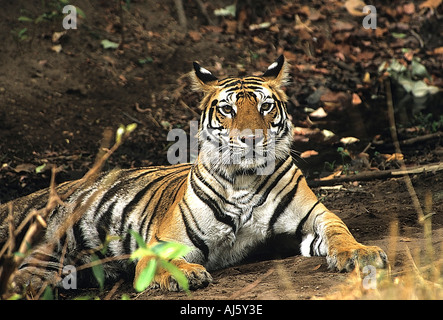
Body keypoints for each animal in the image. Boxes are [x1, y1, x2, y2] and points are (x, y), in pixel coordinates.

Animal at [0, 55, 388, 292]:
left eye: (265, 106)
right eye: (228, 110)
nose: (251, 139)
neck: (244, 179)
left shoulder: (313, 217)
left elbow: (339, 231)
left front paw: (361, 253)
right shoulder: (161, 242)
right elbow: (162, 262)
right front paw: (187, 275)